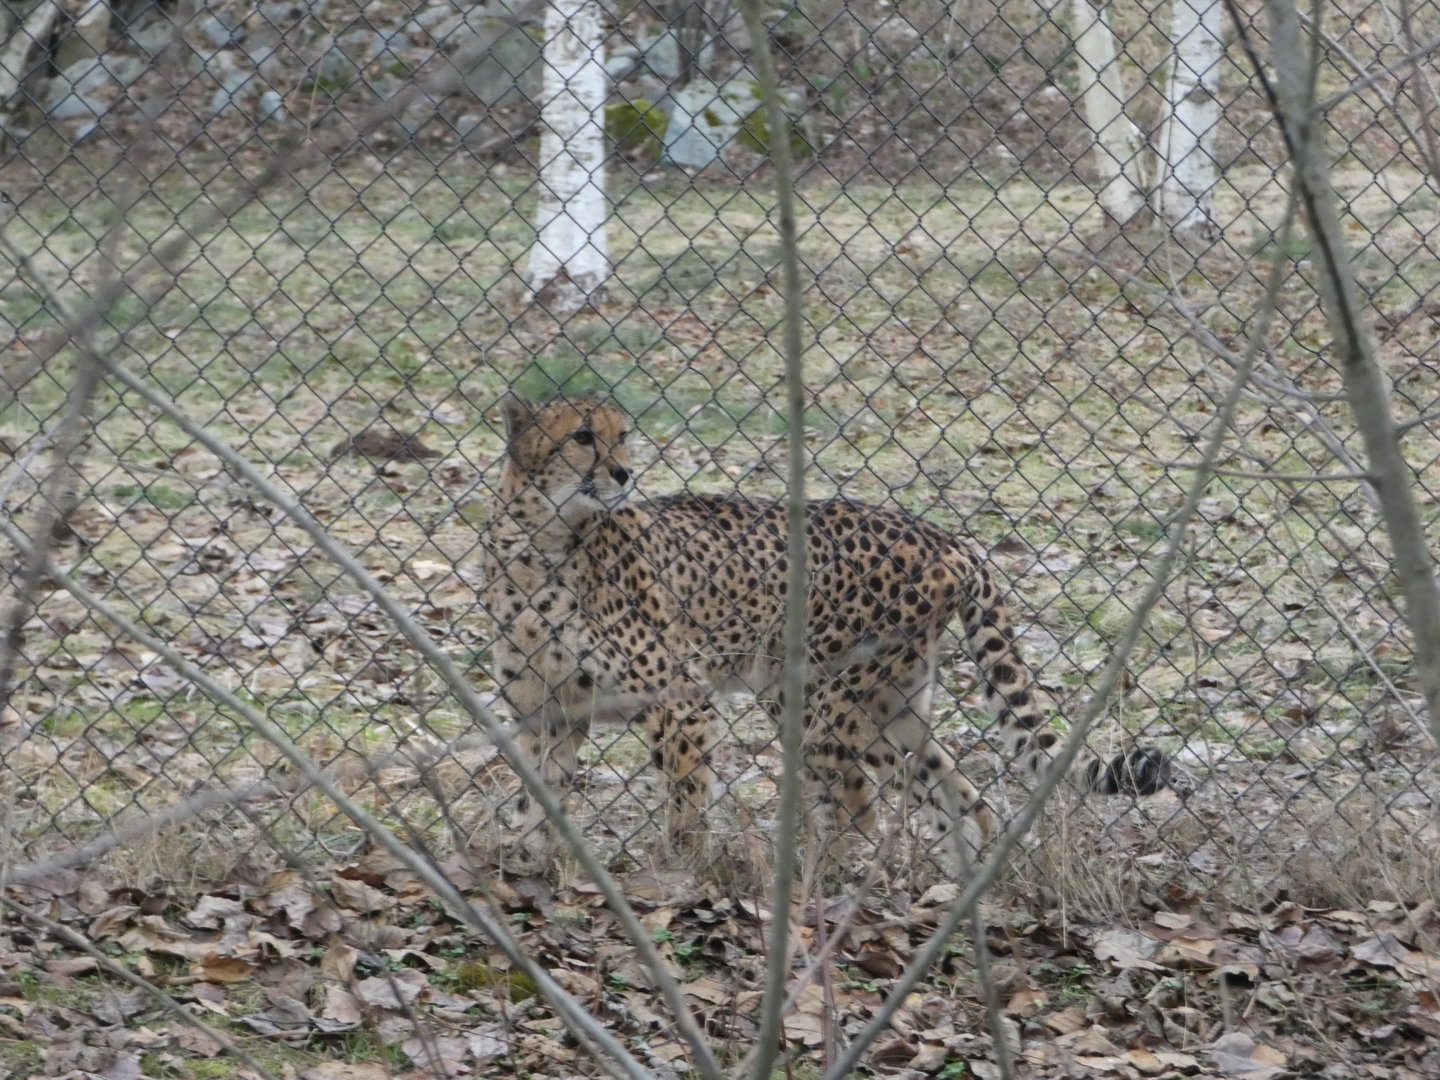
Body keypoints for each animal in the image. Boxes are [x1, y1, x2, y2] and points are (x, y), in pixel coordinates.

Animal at [478, 393, 1178, 862]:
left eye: (623, 436)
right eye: (583, 436)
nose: (625, 474)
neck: (541, 542)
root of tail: (943, 535)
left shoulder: (682, 703)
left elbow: (684, 806)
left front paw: (678, 878)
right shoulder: (548, 715)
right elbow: (535, 802)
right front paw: (528, 875)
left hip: (816, 698)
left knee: (857, 810)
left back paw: (825, 886)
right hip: (890, 703)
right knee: (958, 795)